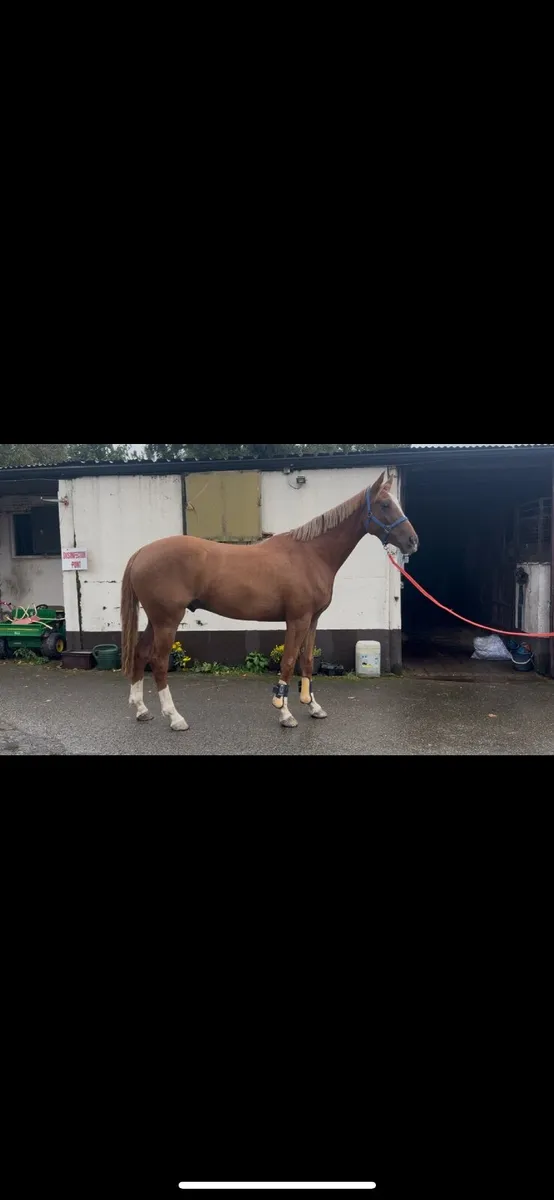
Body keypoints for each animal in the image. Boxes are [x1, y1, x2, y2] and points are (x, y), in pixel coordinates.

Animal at [121, 471, 419, 731]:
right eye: (384, 504)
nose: (412, 541)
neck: (311, 554)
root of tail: (141, 552)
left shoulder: (312, 620)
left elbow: (306, 661)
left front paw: (313, 706)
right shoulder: (297, 619)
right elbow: (288, 661)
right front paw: (284, 713)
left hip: (156, 620)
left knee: (141, 653)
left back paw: (142, 710)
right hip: (168, 620)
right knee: (159, 662)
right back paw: (175, 717)